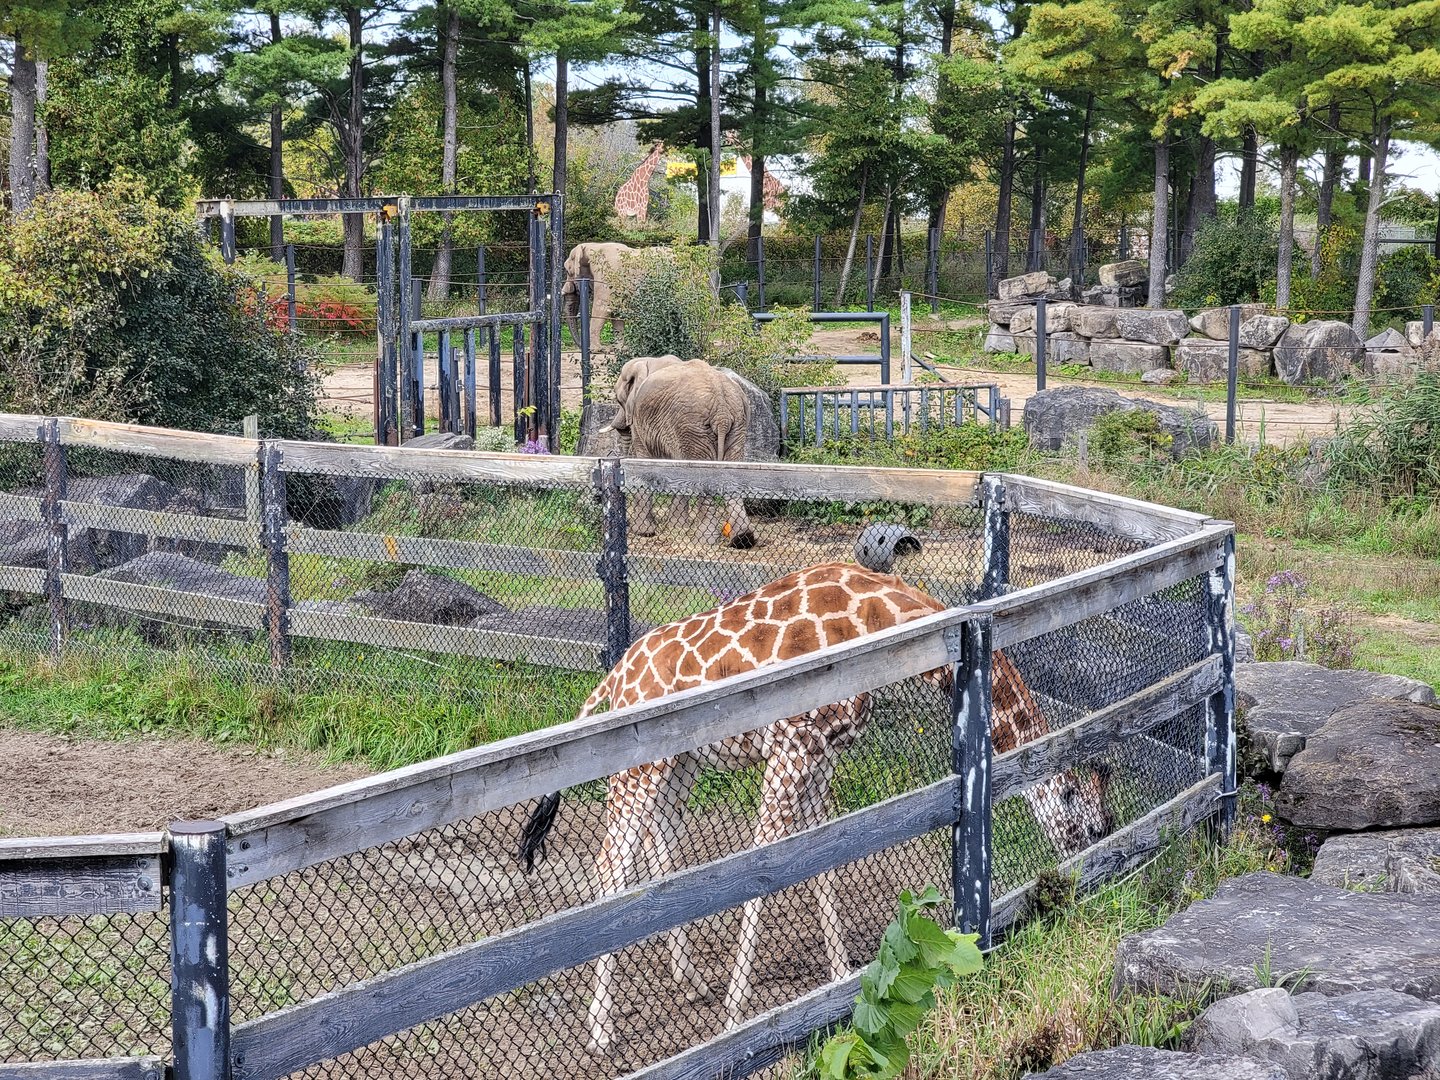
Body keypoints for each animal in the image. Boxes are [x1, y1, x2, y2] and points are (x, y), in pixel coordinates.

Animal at [517, 562, 1110, 1054]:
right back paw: (601, 1030)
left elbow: (821, 858)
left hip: (679, 764)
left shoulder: (823, 755)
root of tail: (612, 682)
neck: (875, 618)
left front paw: (841, 976)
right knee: (610, 867)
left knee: (658, 846)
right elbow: (761, 862)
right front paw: (737, 1015)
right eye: (1072, 800)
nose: (1087, 858)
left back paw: (691, 982)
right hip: (639, 769)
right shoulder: (791, 747)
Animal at [604, 356, 756, 549]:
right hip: (736, 424)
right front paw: (677, 525)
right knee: (732, 474)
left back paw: (704, 540)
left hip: (693, 426)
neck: (648, 362)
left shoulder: (640, 418)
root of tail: (722, 410)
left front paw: (644, 532)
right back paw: (742, 540)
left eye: (618, 400)